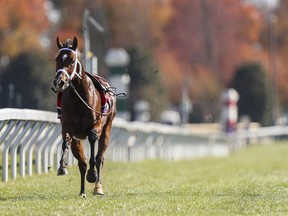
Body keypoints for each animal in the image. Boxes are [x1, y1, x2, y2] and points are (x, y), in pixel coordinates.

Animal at [51, 35, 116, 197]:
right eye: (57, 59)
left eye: (72, 60)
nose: (59, 82)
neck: (79, 98)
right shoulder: (68, 126)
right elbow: (66, 142)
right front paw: (62, 167)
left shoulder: (96, 124)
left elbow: (93, 140)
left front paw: (92, 175)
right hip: (78, 139)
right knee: (82, 163)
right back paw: (82, 192)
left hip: (107, 127)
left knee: (100, 157)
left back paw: (98, 187)